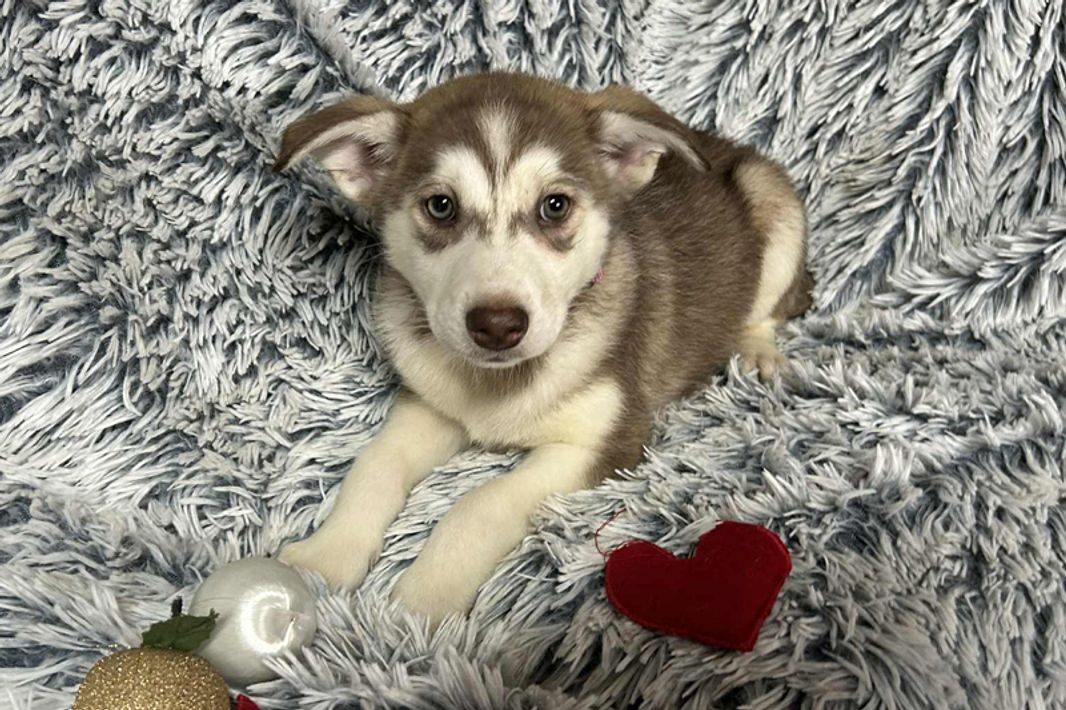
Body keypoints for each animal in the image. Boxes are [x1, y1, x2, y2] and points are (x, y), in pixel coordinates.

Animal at [273, 72, 812, 627]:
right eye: (441, 206)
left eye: (555, 205)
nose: (497, 325)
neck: (497, 384)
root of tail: (717, 144)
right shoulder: (428, 403)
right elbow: (374, 464)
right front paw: (327, 554)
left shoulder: (605, 441)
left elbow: (480, 505)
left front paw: (424, 599)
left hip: (773, 205)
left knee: (770, 306)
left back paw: (757, 352)